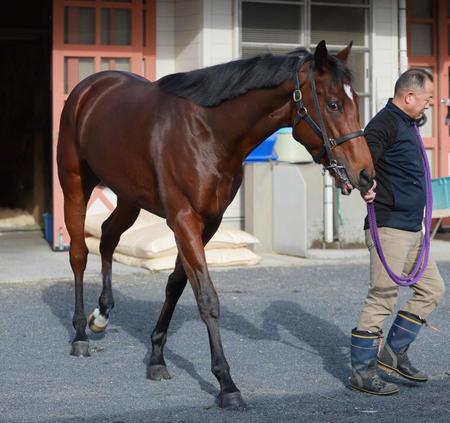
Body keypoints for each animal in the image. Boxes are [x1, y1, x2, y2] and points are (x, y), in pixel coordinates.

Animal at [57, 40, 372, 410]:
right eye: (334, 104)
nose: (366, 173)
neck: (207, 130)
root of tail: (89, 88)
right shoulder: (183, 220)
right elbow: (207, 297)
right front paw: (226, 383)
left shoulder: (208, 223)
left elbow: (176, 285)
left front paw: (156, 357)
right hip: (75, 186)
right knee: (79, 254)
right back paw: (80, 333)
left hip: (129, 197)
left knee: (107, 237)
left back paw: (102, 315)